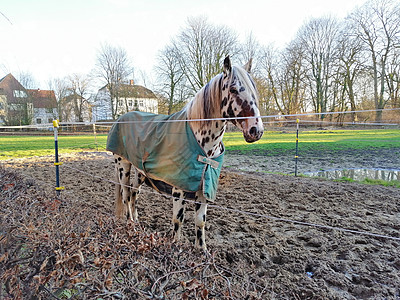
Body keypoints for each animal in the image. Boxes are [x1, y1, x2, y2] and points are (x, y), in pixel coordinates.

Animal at [104, 56, 264, 251]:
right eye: (233, 89)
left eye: (254, 90)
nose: (256, 130)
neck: (203, 144)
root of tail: (120, 118)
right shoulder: (179, 190)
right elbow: (177, 220)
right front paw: (176, 246)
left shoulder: (204, 189)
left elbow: (200, 221)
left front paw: (201, 250)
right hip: (123, 167)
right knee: (126, 196)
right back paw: (130, 225)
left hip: (140, 173)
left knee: (134, 194)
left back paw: (136, 221)